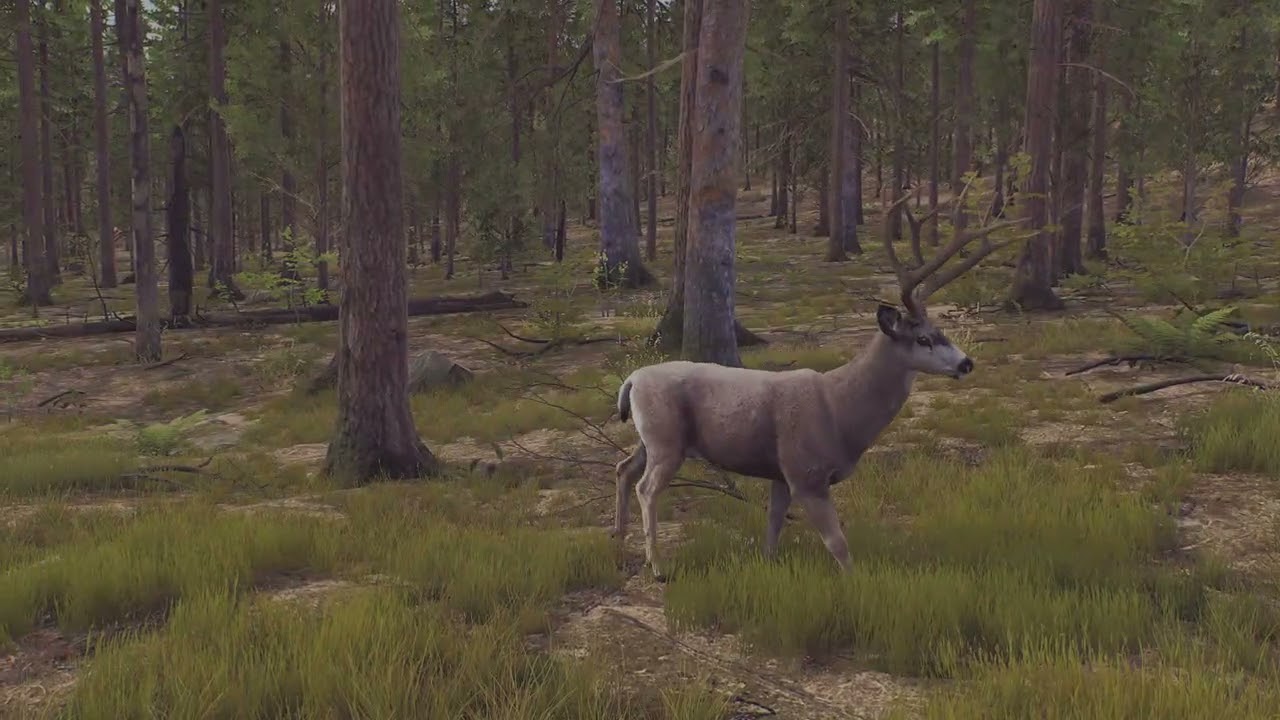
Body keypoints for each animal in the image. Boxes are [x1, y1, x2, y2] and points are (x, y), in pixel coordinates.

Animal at [611, 192, 1029, 581]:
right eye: (923, 338)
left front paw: (768, 566)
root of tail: (632, 379)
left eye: (941, 330)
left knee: (623, 468)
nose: (966, 362)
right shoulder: (806, 472)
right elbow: (838, 544)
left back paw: (617, 540)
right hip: (666, 439)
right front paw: (855, 586)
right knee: (646, 487)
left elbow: (773, 528)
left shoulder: (781, 473)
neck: (840, 413)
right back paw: (657, 567)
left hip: (650, 438)